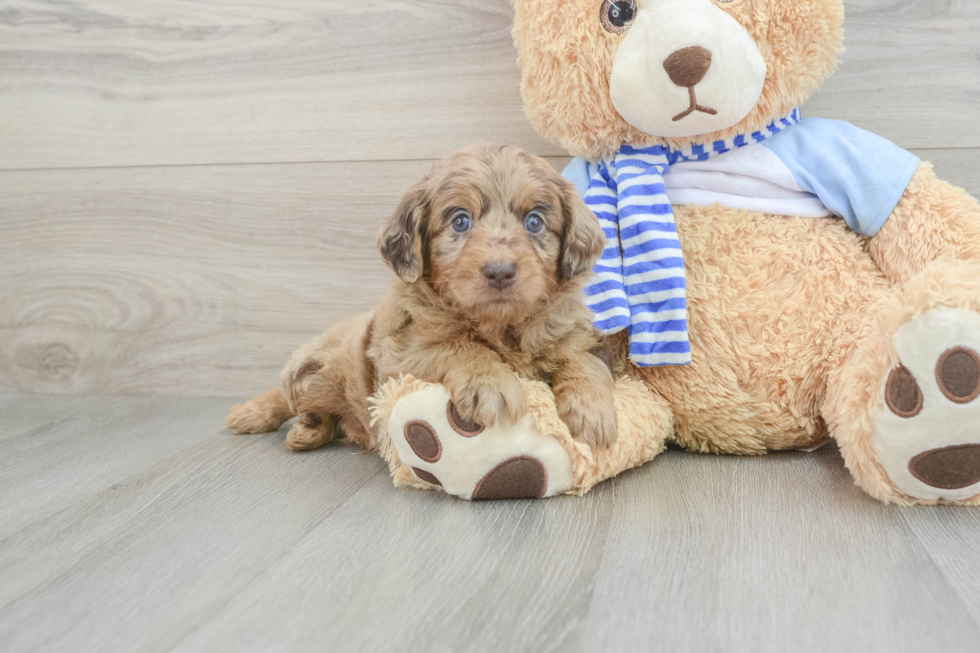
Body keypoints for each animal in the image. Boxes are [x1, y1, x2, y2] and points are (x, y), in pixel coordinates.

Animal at [226, 146, 616, 454]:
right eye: (460, 221)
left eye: (534, 221)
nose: (500, 272)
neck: (499, 326)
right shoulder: (398, 356)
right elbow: (457, 345)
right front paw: (492, 383)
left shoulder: (573, 337)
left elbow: (584, 362)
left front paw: (592, 409)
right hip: (315, 368)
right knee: (290, 397)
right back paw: (270, 419)